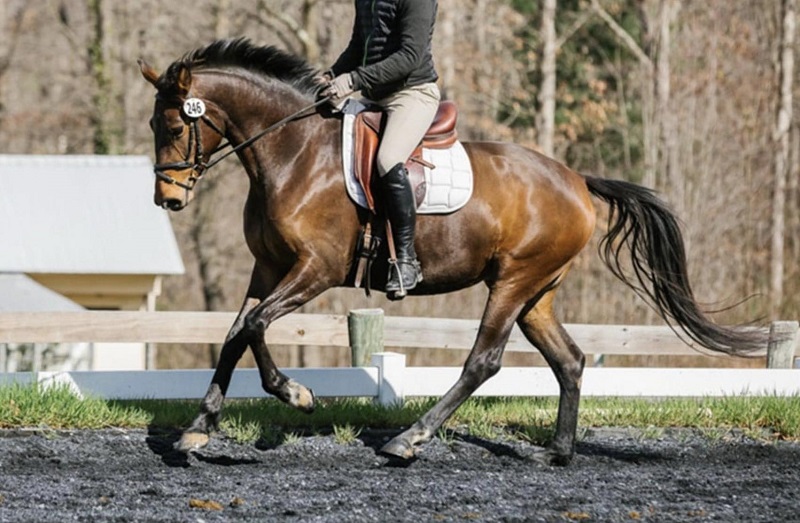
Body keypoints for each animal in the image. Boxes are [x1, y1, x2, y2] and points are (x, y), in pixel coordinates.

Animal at [139, 38, 766, 465]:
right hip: (537, 293)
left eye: (173, 125)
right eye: (154, 123)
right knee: (569, 360)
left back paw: (409, 439)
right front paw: (199, 426)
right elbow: (236, 332)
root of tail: (576, 180)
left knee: (483, 361)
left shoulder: (315, 269)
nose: (168, 198)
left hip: (512, 282)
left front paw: (297, 394)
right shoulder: (268, 266)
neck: (293, 153)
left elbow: (255, 327)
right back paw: (557, 452)